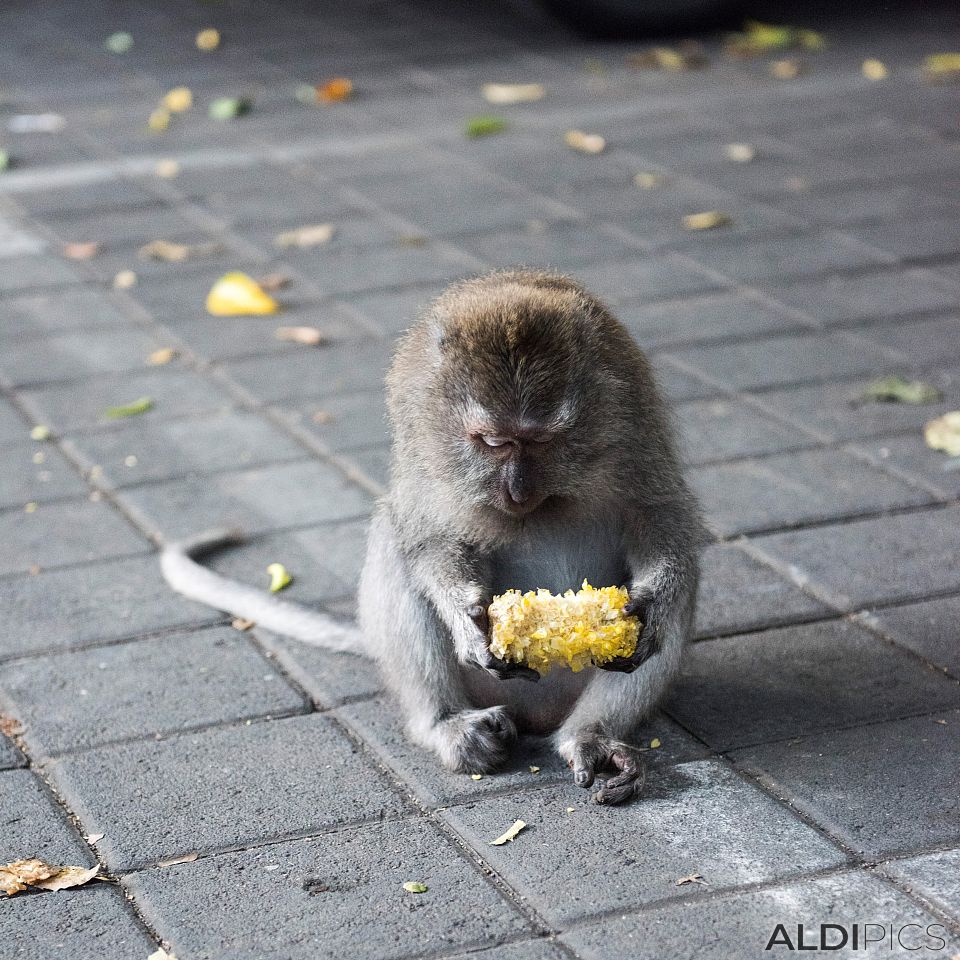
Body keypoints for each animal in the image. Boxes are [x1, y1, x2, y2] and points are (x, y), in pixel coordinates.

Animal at [163, 270, 704, 804]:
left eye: (542, 441)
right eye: (493, 442)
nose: (518, 489)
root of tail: (538, 714)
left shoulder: (630, 414)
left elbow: (661, 515)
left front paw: (655, 598)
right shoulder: (423, 436)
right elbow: (426, 535)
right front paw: (462, 611)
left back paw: (588, 735)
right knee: (393, 541)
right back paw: (444, 725)